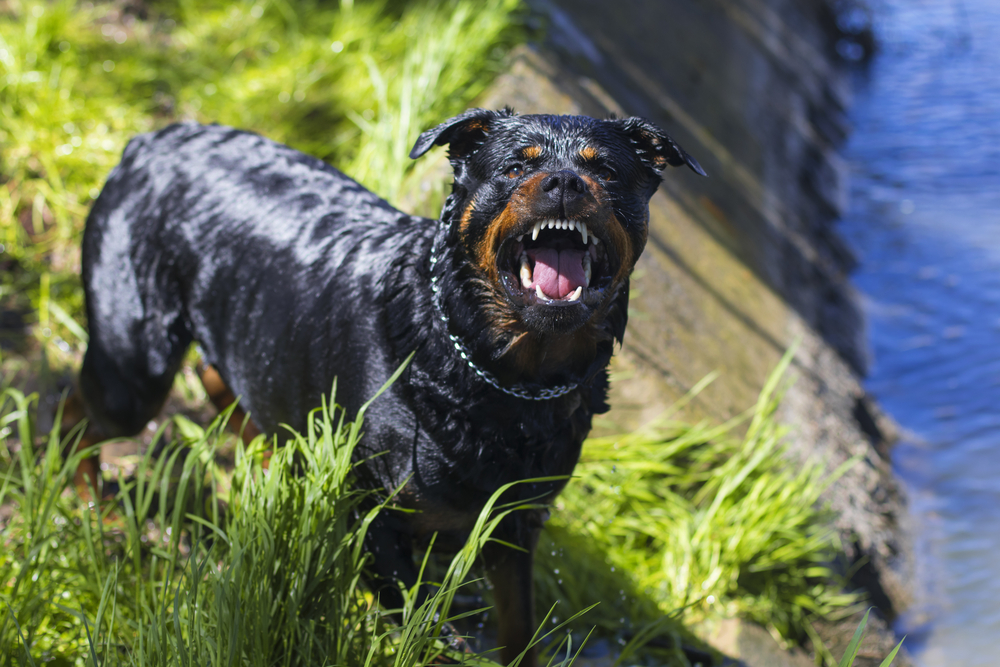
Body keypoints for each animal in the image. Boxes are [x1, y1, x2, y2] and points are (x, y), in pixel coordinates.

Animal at [64, 108, 704, 664]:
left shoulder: (515, 524)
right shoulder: (376, 523)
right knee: (84, 414)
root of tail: (152, 140)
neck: (497, 378)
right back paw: (90, 500)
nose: (567, 181)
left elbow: (518, 627)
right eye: (515, 168)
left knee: (222, 380)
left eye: (607, 171)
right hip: (134, 364)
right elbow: (429, 636)